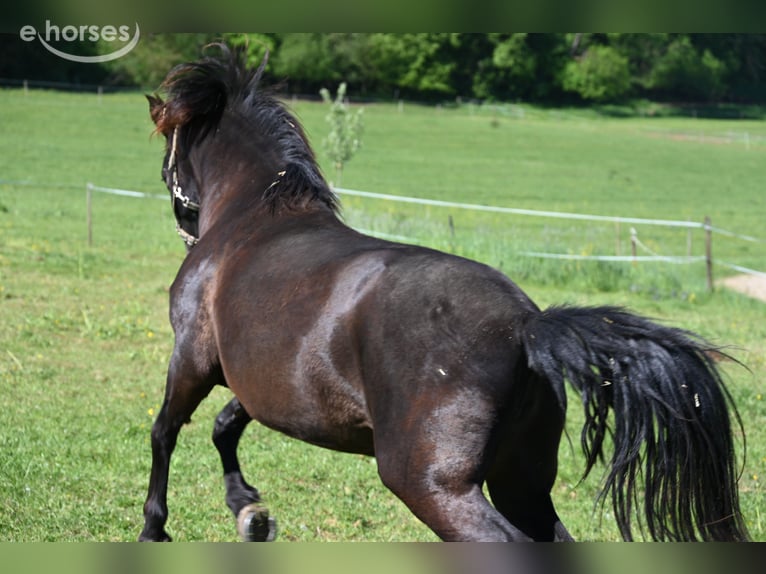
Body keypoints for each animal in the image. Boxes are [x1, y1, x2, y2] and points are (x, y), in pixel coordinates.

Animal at [139, 45, 749, 542]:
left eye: (167, 157)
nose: (183, 223)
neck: (252, 219)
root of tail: (525, 326)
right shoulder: (257, 378)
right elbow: (225, 426)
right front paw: (249, 509)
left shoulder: (192, 357)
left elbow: (165, 430)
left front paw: (155, 526)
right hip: (521, 482)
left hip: (432, 485)